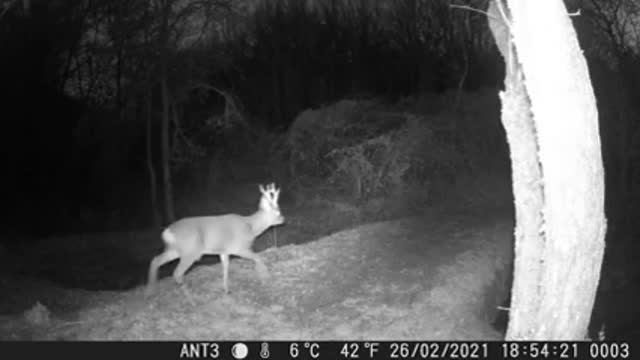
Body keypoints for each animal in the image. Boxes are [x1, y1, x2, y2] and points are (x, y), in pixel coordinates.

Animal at [146, 183, 286, 298]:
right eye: (278, 212)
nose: (283, 219)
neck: (250, 227)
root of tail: (167, 232)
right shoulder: (240, 247)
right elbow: (258, 257)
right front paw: (266, 277)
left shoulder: (224, 251)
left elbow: (225, 268)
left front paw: (226, 290)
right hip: (190, 252)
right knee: (176, 273)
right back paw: (191, 299)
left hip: (175, 250)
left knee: (155, 260)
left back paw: (151, 290)